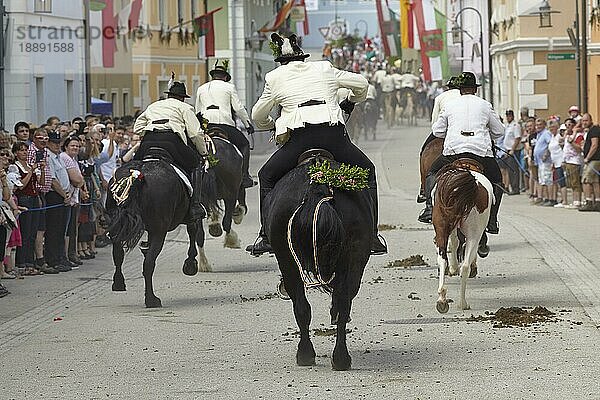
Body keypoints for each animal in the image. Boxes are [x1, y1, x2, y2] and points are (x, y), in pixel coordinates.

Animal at [104, 158, 205, 308]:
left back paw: (119, 283)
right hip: (159, 232)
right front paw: (190, 264)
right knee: (149, 264)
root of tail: (137, 174)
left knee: (118, 254)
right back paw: (151, 299)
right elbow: (193, 231)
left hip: (117, 227)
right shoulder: (187, 219)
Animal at [264, 151, 372, 372]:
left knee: (308, 305)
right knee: (336, 304)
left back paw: (316, 355)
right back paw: (335, 357)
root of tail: (317, 181)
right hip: (350, 258)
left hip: (288, 260)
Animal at [434, 159, 494, 312]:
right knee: (465, 264)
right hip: (473, 233)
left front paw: (453, 268)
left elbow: (454, 244)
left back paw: (445, 300)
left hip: (443, 228)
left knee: (444, 259)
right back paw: (461, 302)